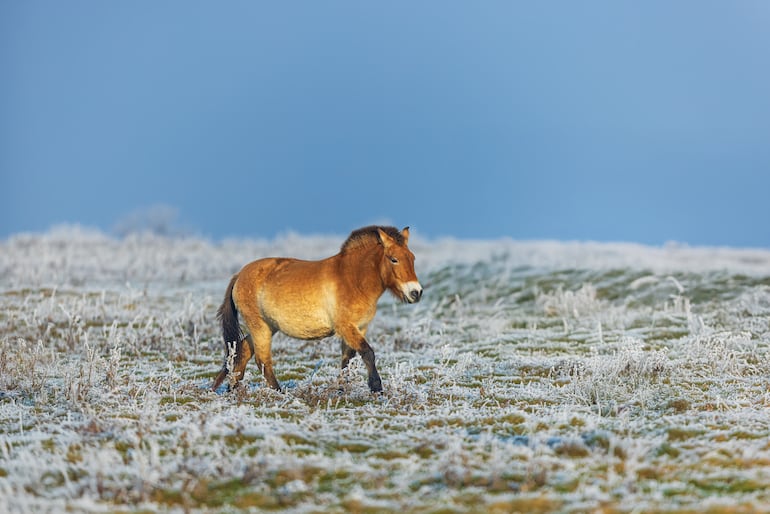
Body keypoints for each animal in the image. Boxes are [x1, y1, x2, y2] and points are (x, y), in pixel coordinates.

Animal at [211, 225, 423, 393]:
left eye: (412, 258)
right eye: (393, 259)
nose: (416, 292)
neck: (353, 279)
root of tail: (239, 275)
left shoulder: (359, 328)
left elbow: (348, 360)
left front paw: (341, 389)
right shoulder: (346, 327)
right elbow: (368, 353)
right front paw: (376, 387)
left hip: (268, 326)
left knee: (243, 352)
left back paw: (233, 389)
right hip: (259, 326)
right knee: (262, 360)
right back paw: (279, 392)